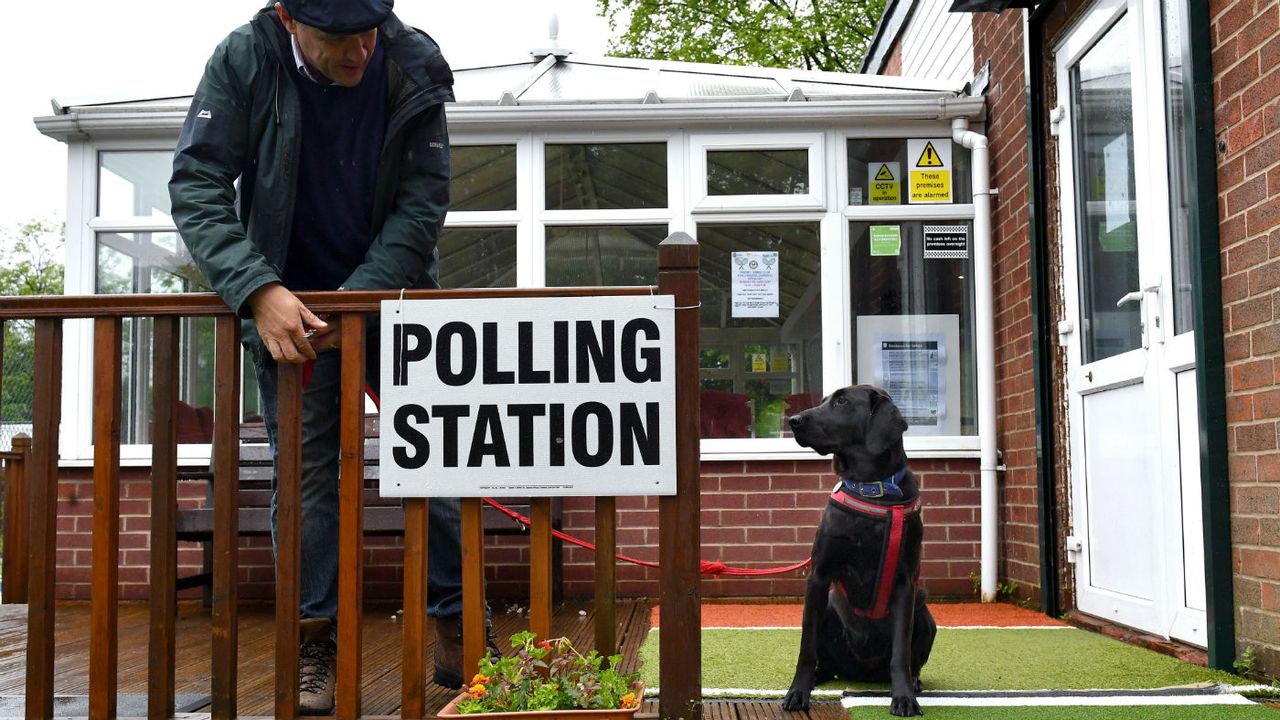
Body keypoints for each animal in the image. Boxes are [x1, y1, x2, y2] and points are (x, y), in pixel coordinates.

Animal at [778, 381, 931, 712]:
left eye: (842, 402)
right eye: (824, 400)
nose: (793, 420)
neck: (872, 489)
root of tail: (862, 672)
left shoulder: (905, 583)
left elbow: (900, 653)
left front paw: (903, 697)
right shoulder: (819, 576)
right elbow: (806, 648)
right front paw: (797, 692)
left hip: (924, 611)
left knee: (910, 659)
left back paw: (914, 682)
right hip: (827, 609)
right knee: (825, 661)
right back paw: (819, 676)